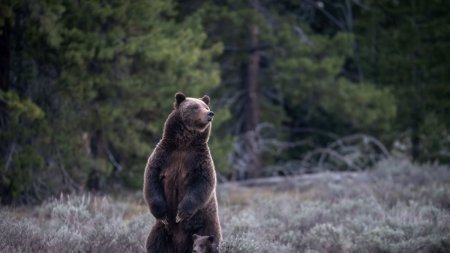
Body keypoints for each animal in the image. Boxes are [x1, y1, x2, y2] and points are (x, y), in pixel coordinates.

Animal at [144, 92, 221, 253]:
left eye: (206, 106)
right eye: (195, 106)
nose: (210, 113)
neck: (184, 143)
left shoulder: (199, 159)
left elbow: (202, 183)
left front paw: (180, 214)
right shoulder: (164, 156)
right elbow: (151, 179)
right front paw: (164, 215)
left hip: (205, 227)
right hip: (162, 232)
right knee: (155, 243)